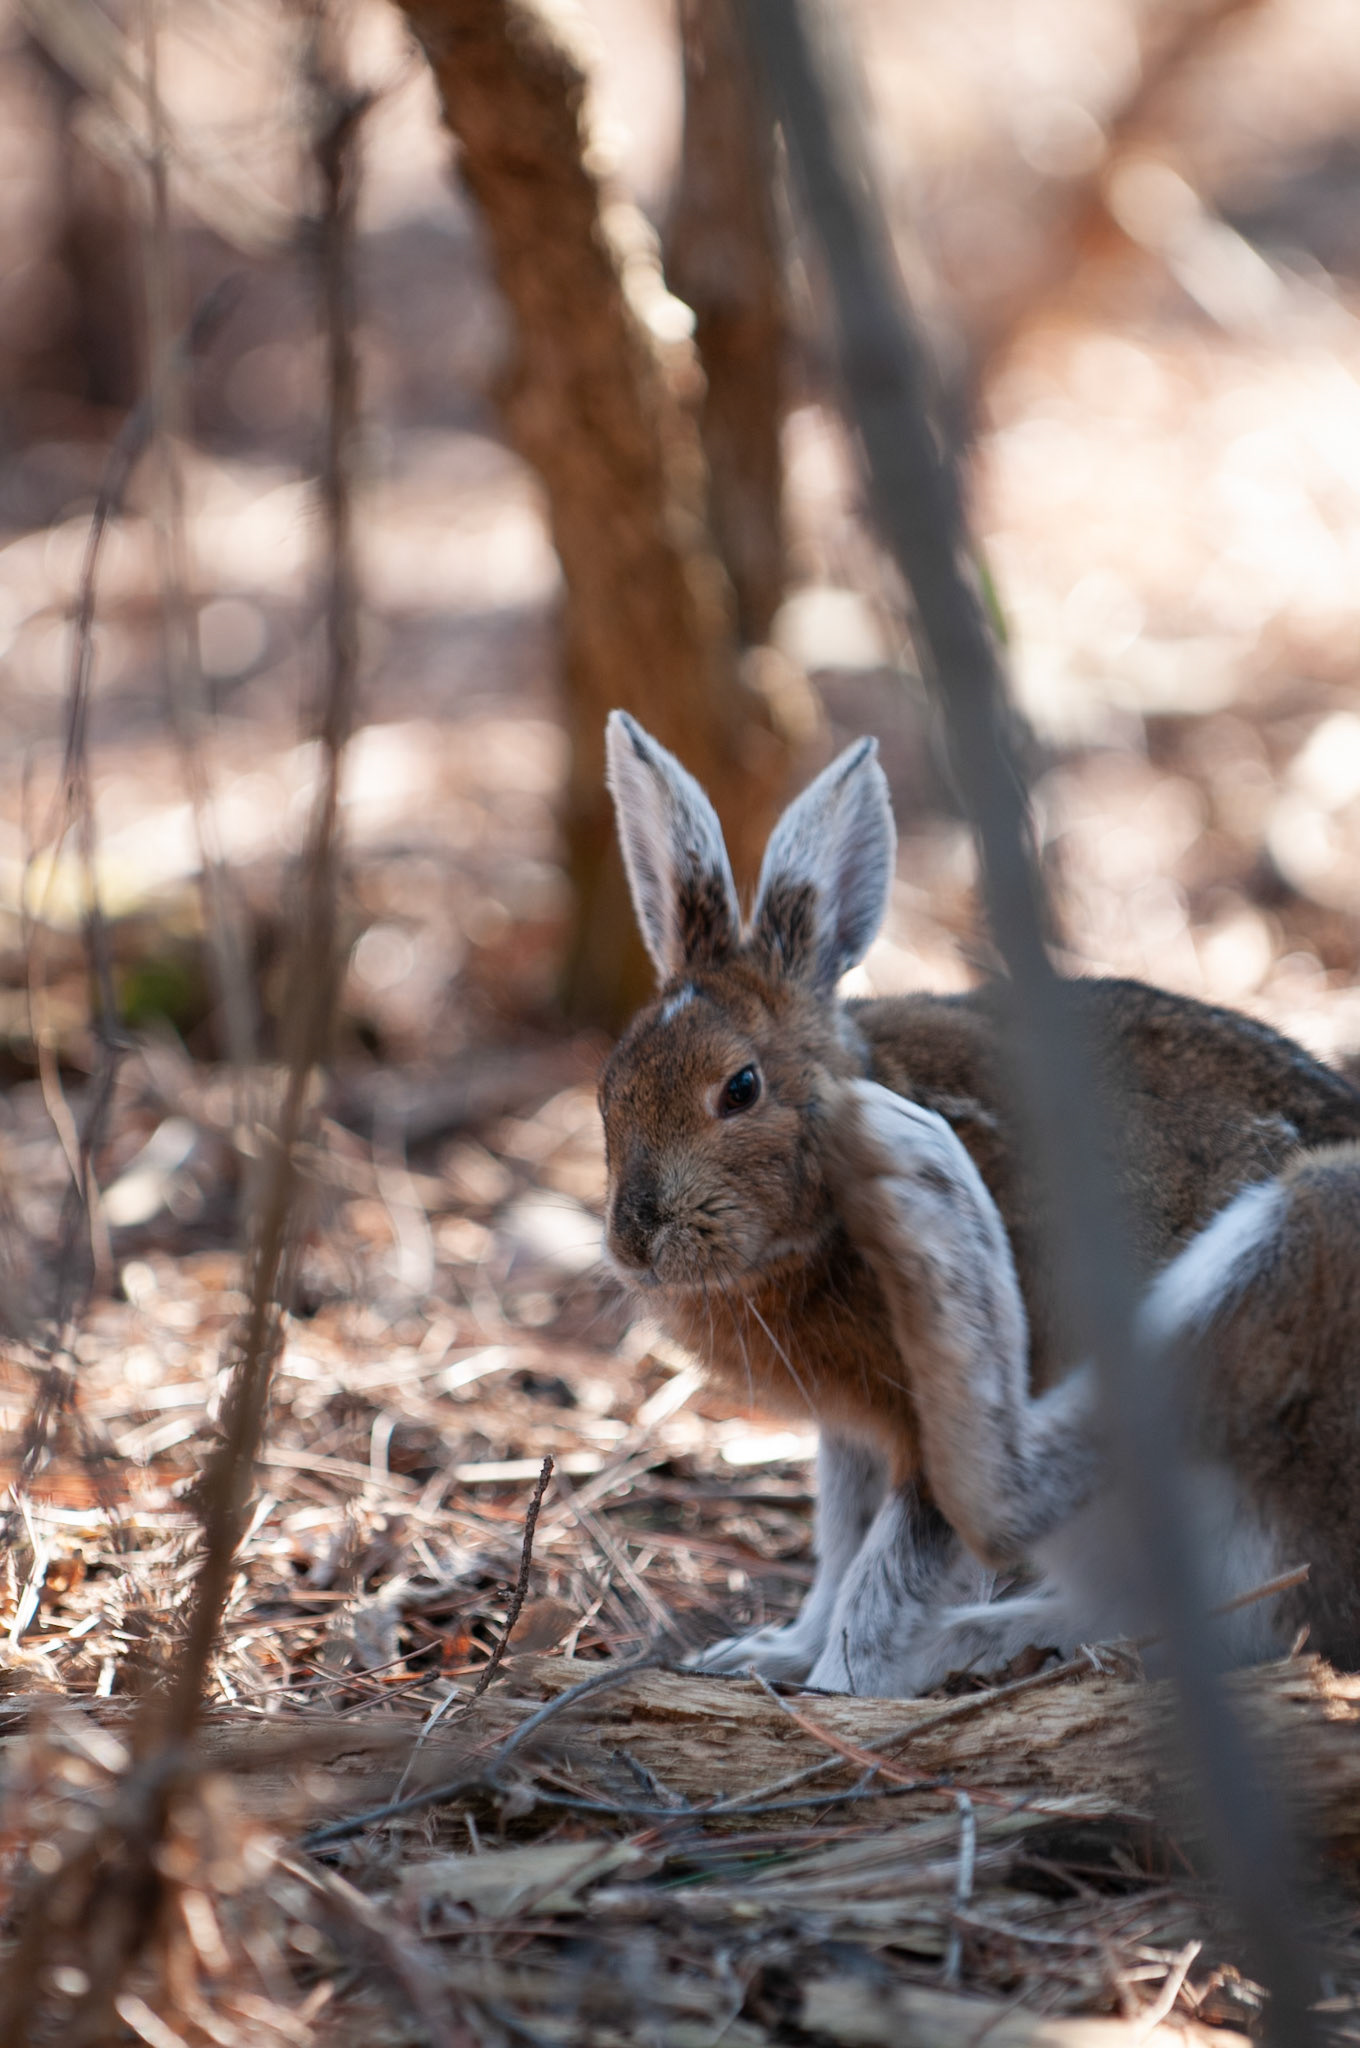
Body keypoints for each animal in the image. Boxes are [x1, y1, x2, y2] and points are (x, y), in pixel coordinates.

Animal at [598, 708, 1360, 1693]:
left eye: (740, 1089)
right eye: (608, 1089)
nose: (636, 1241)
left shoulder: (911, 1445)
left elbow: (884, 1577)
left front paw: (836, 1688)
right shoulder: (853, 1436)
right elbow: (839, 1549)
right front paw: (773, 1653)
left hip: (1309, 1230)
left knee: (1013, 1498)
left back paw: (929, 1183)